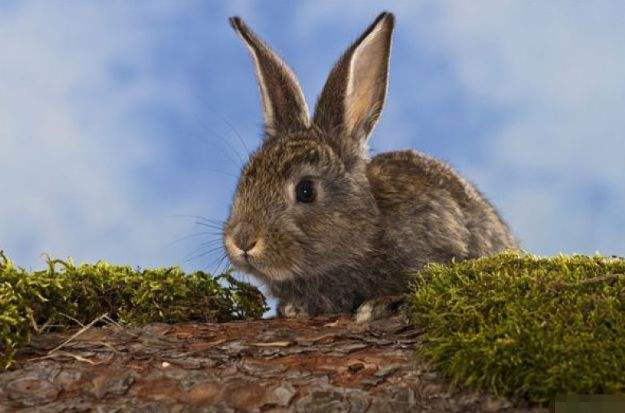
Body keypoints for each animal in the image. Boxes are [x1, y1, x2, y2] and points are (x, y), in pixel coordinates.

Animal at [224, 11, 516, 318]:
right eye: (245, 179)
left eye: (306, 190)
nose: (243, 241)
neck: (368, 226)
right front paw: (295, 309)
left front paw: (377, 305)